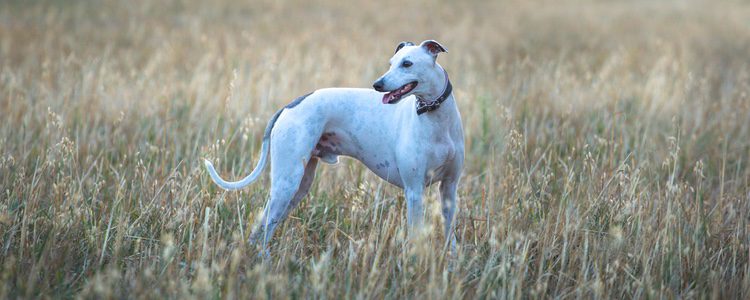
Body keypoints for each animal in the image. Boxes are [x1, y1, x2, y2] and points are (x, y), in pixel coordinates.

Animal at [206, 39, 464, 254]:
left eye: (407, 63)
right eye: (391, 63)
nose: (377, 84)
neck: (435, 118)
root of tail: (291, 105)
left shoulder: (449, 188)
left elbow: (449, 231)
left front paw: (450, 261)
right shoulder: (414, 190)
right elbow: (415, 234)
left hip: (298, 187)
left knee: (263, 226)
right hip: (286, 183)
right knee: (265, 225)